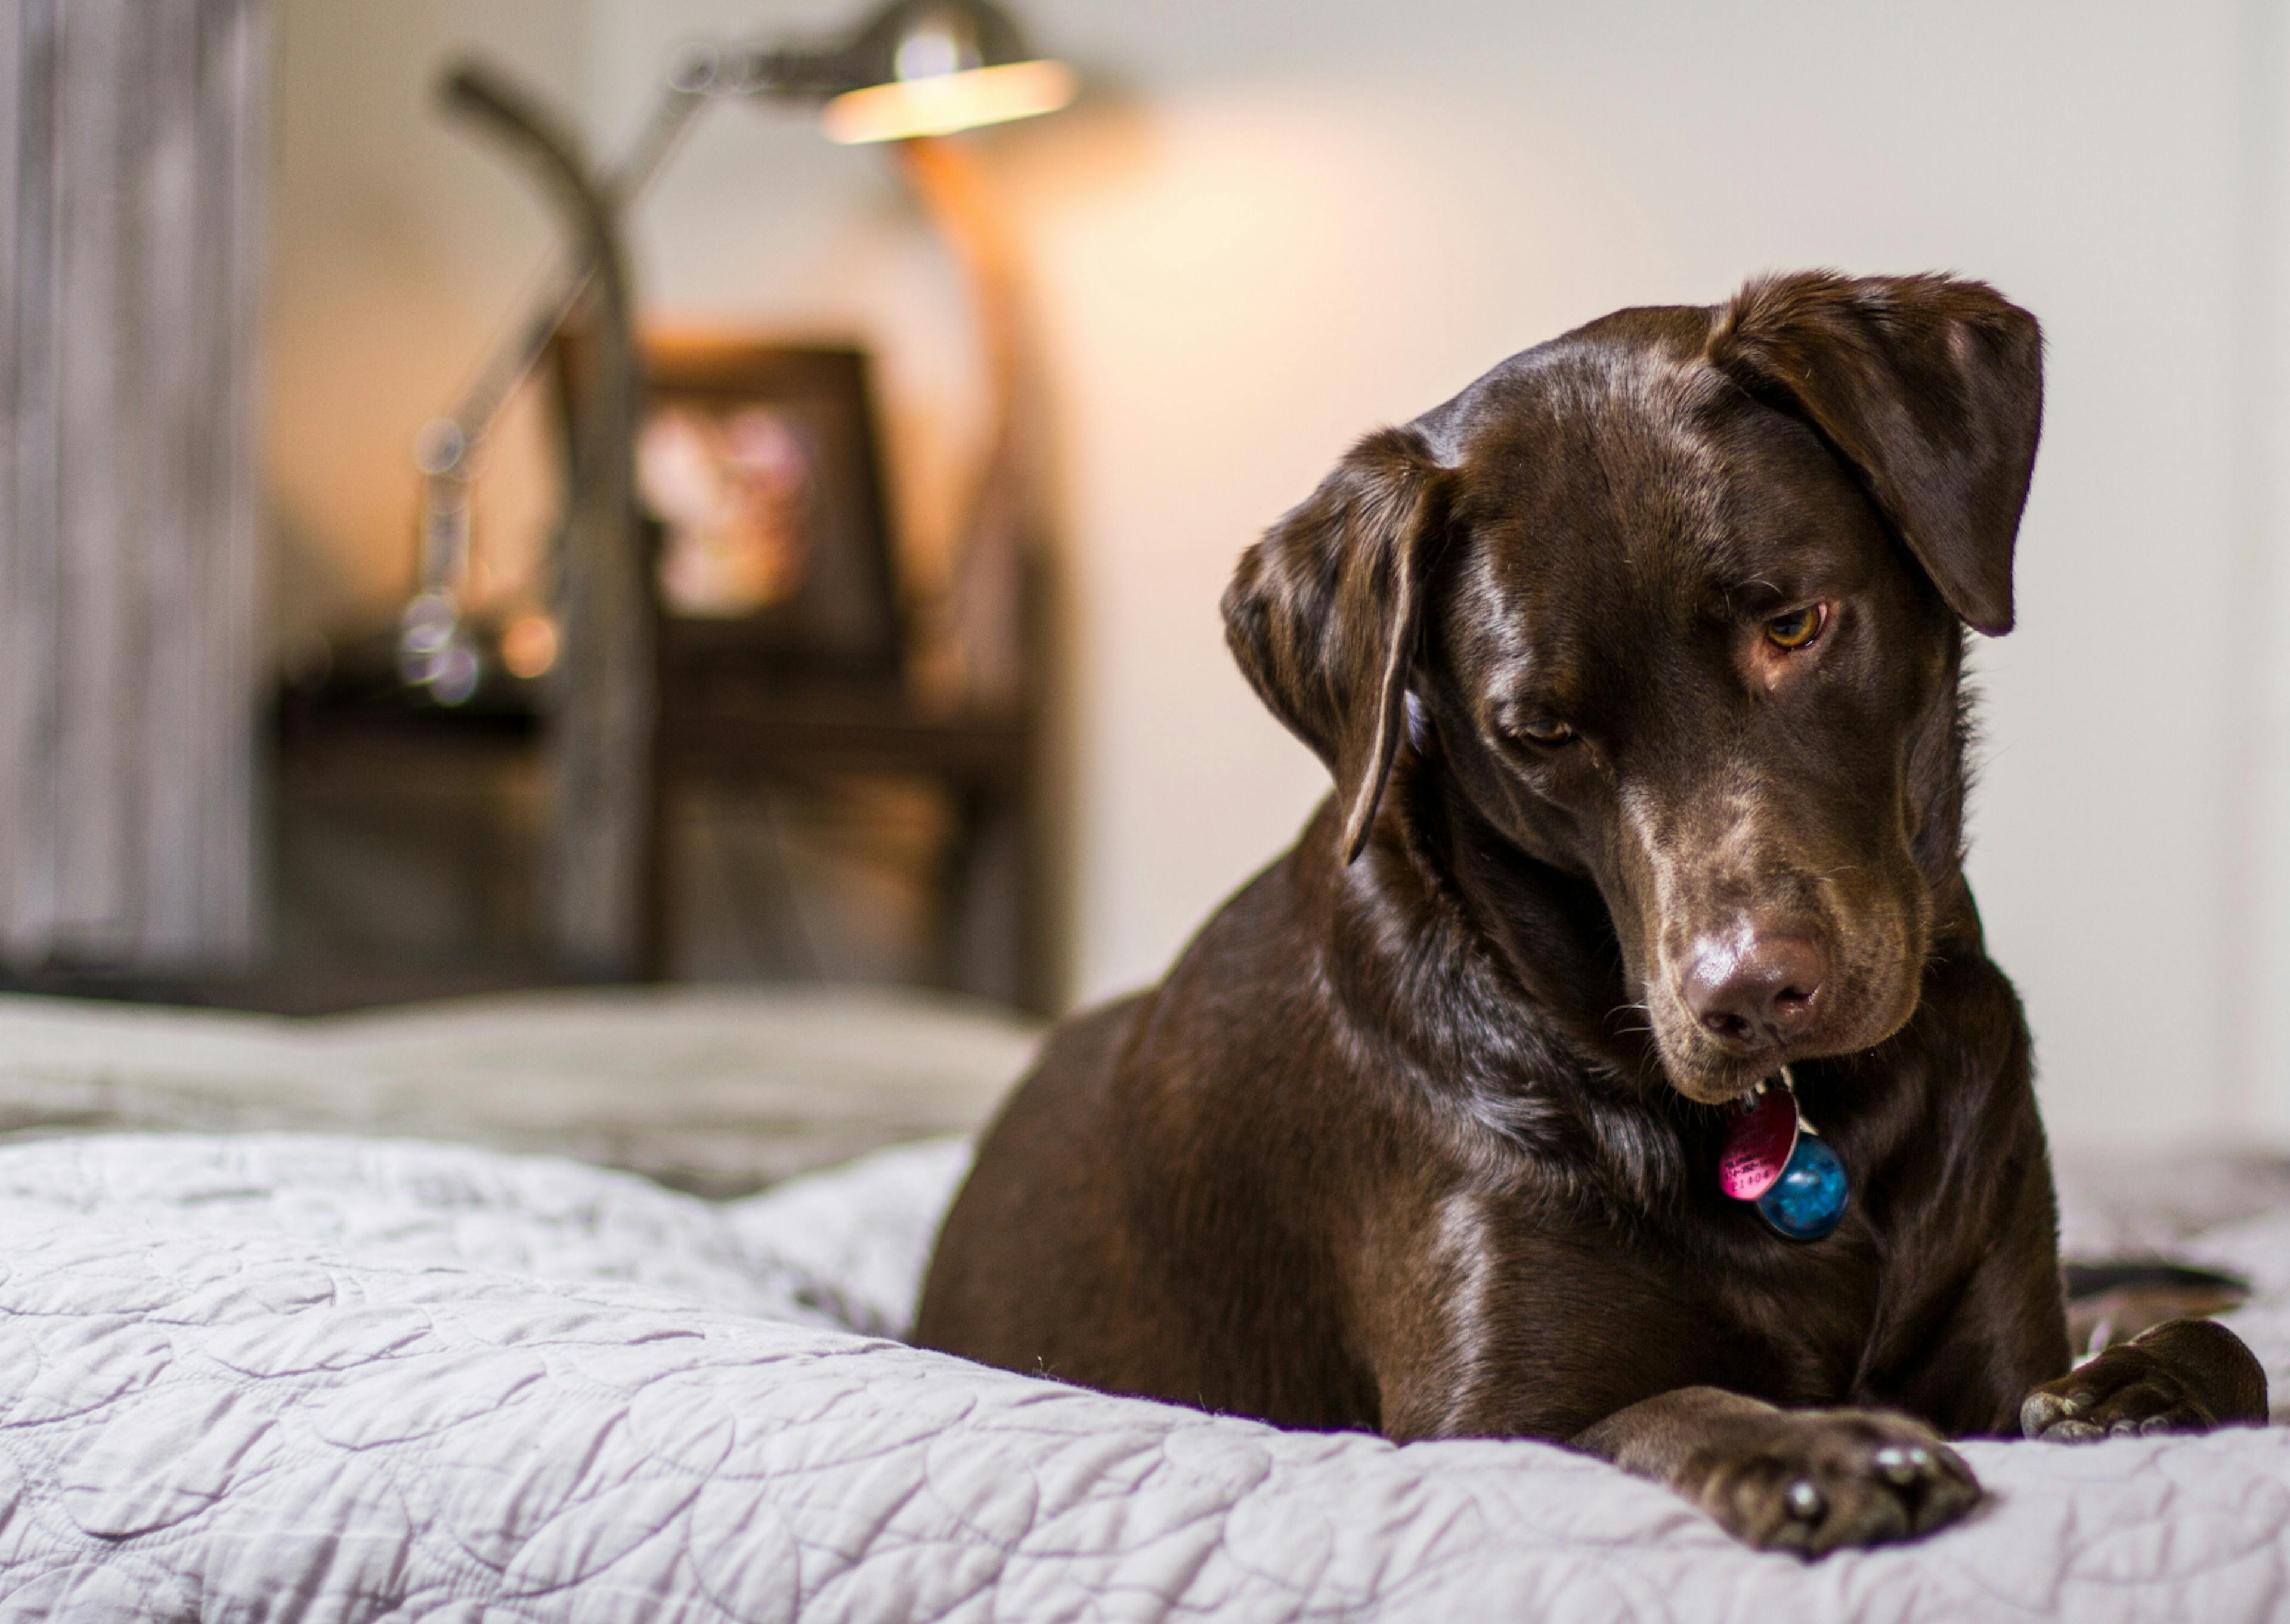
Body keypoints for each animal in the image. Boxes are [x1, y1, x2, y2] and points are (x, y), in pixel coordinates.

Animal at [916, 272, 2272, 1548]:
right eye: (1540, 730)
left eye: (1794, 624)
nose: (1750, 993)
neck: (1810, 1123)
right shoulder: (1481, 1419)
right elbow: (1661, 1408)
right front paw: (1818, 1446)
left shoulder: (1998, 1358)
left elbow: (2223, 1356)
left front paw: (2135, 1386)